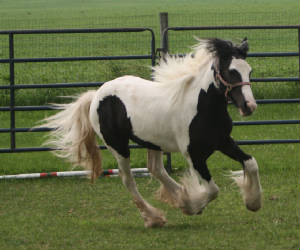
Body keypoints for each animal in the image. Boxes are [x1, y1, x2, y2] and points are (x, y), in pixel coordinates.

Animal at [40, 37, 262, 229]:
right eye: (231, 71)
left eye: (249, 71)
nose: (249, 106)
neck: (202, 105)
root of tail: (96, 95)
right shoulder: (194, 154)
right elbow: (213, 190)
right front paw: (190, 206)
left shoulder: (223, 141)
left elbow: (251, 163)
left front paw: (253, 203)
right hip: (118, 146)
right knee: (128, 179)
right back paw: (154, 217)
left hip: (153, 142)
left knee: (156, 169)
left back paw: (177, 197)